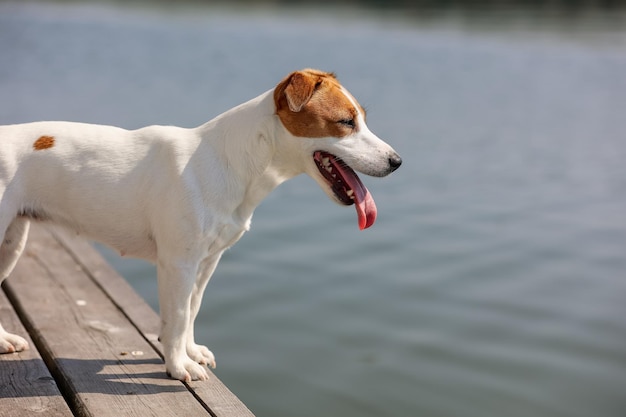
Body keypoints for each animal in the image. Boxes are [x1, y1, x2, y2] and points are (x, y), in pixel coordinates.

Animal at [0, 68, 400, 380]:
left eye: (363, 118)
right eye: (346, 122)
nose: (397, 161)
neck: (231, 162)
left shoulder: (207, 261)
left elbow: (192, 310)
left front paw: (189, 353)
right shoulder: (179, 262)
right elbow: (177, 317)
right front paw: (179, 367)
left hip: (12, 243)